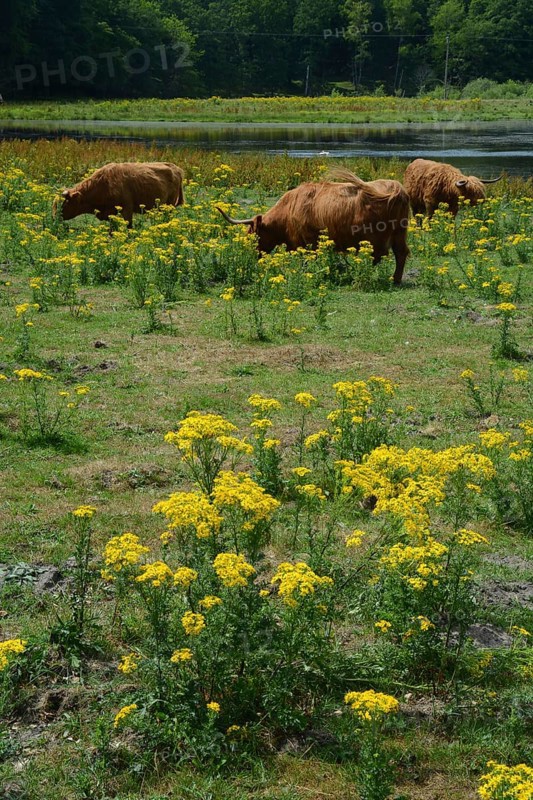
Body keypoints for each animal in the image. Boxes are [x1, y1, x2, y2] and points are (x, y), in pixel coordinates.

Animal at [216, 168, 410, 285]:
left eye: (252, 234)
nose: (248, 256)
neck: (287, 211)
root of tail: (397, 188)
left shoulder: (305, 241)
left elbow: (307, 259)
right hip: (399, 233)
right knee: (400, 253)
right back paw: (394, 279)